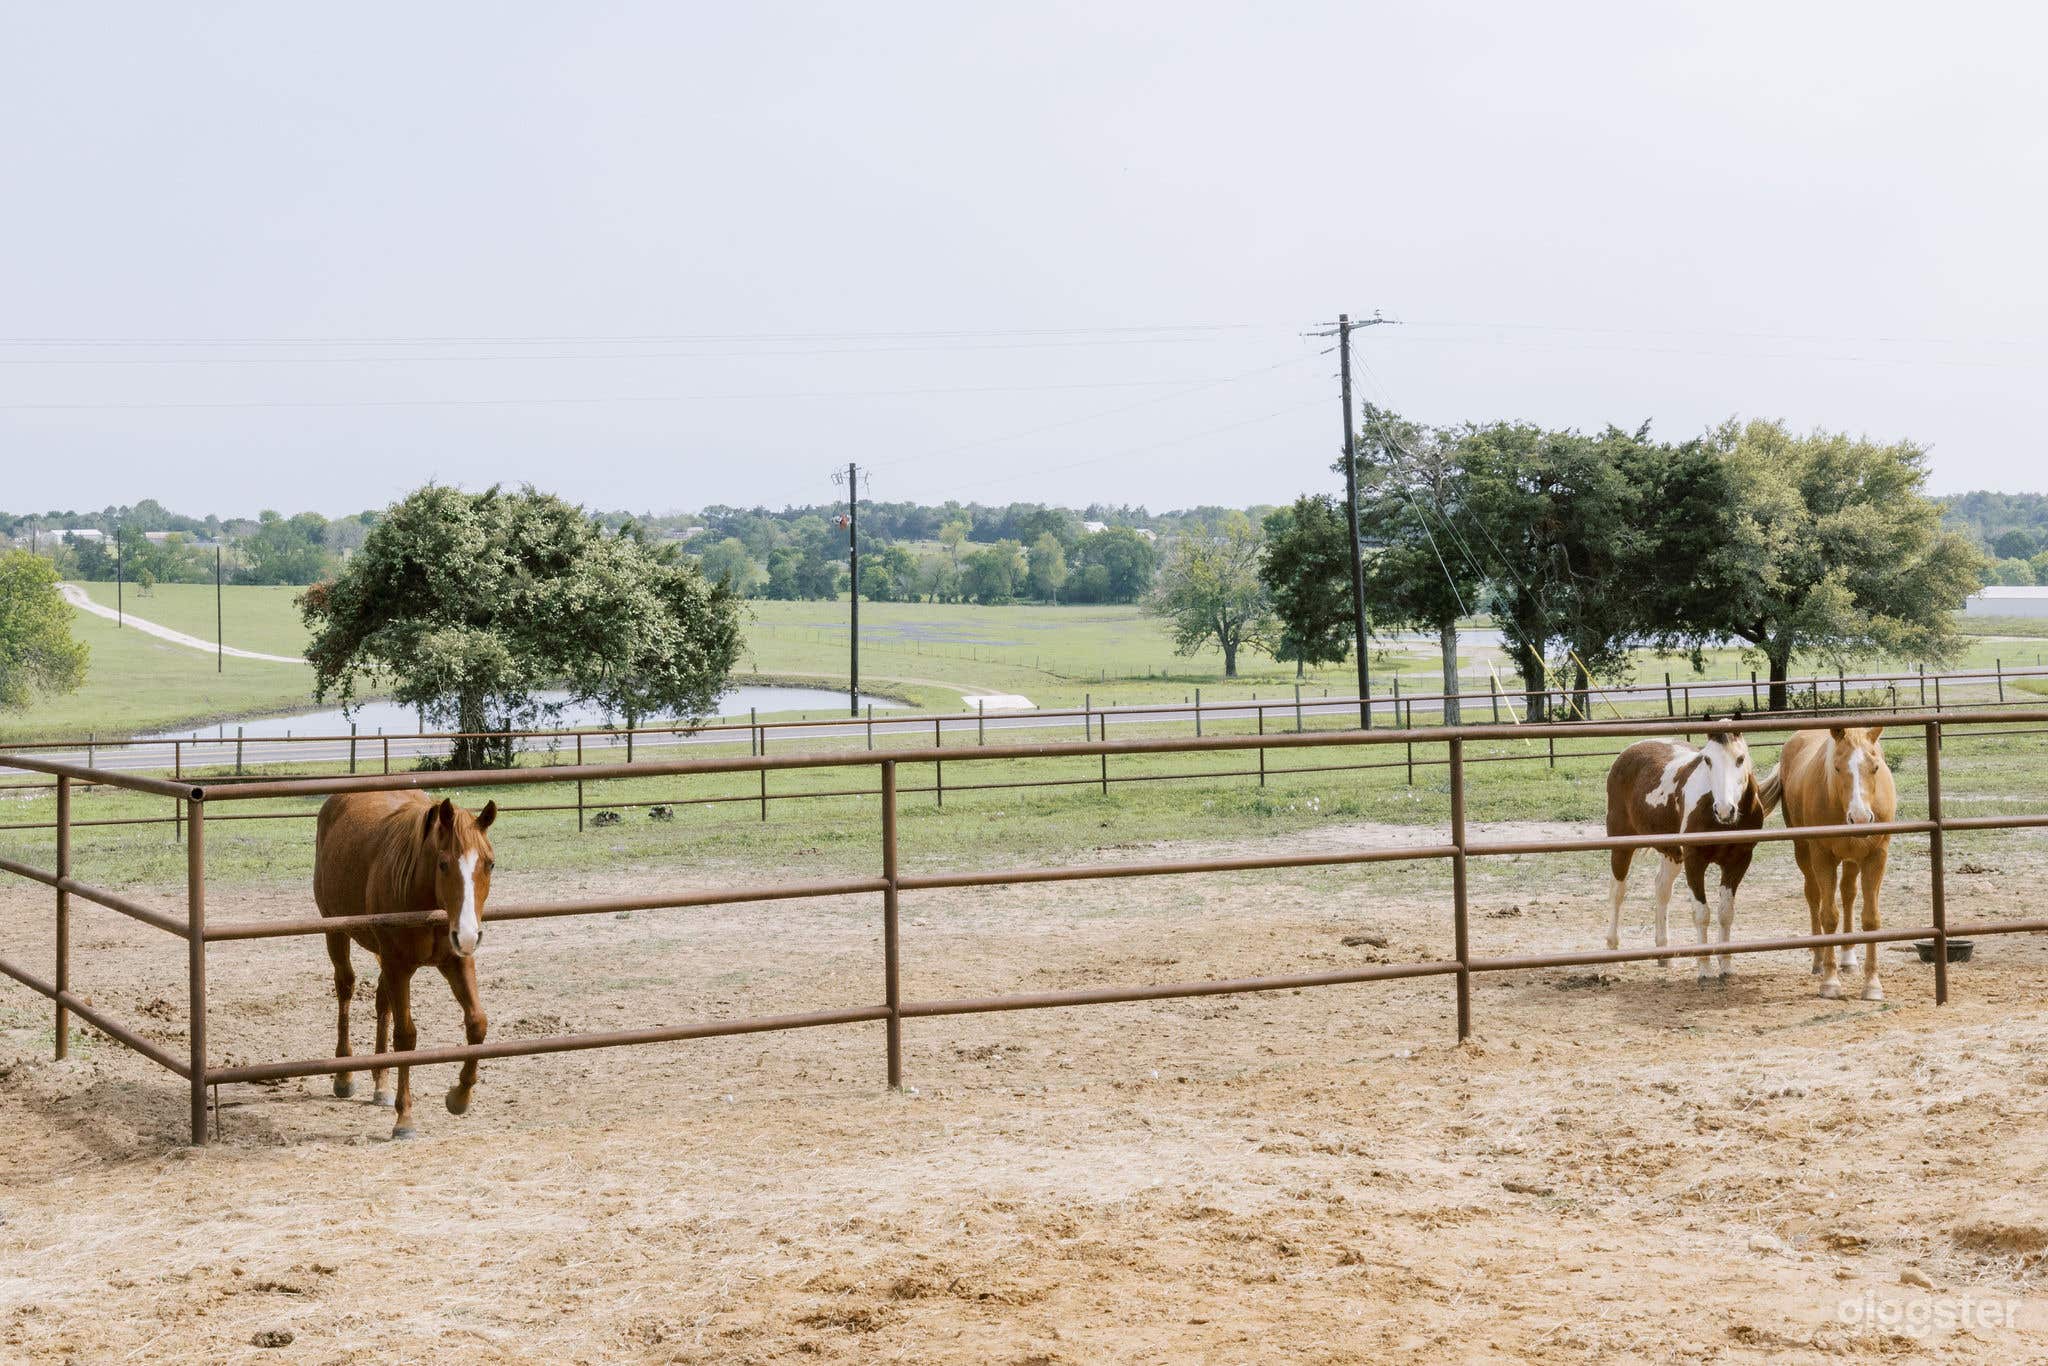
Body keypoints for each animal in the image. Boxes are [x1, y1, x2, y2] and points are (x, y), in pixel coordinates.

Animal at [314, 792, 498, 1139]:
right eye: (443, 864)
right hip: (336, 932)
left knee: (381, 1001)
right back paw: (344, 1076)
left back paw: (380, 1083)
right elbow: (405, 1036)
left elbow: (477, 1023)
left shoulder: (455, 960)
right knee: (345, 987)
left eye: (489, 864)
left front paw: (459, 1097)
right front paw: (405, 1118)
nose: (469, 934)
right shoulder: (398, 965)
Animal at [1603, 725, 1765, 983]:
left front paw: (1726, 965)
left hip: (1671, 854)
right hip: (1622, 846)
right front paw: (1704, 969)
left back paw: (1664, 954)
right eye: (1707, 759)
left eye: (1740, 758)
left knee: (1661, 889)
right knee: (1617, 892)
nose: (1725, 810)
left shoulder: (1739, 861)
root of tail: (1629, 751)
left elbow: (1725, 913)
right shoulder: (1694, 861)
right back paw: (1612, 952)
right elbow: (1701, 913)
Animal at [1757, 726, 1894, 1001]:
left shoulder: (1876, 856)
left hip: (1853, 859)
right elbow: (1829, 916)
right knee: (1813, 895)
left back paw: (1849, 958)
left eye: (1875, 767)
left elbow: (1871, 919)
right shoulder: (1823, 857)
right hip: (1804, 852)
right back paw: (1819, 960)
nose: (1860, 818)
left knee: (1848, 893)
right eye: (1837, 768)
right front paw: (1830, 983)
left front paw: (1872, 985)